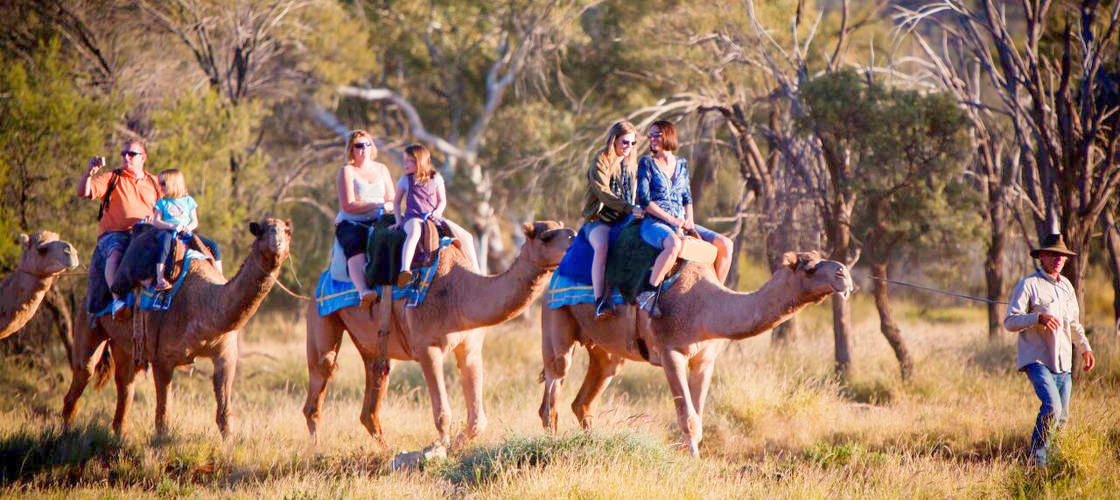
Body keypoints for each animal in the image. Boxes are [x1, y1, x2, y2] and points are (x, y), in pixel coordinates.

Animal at [62, 219, 291, 437]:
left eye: (287, 231)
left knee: (125, 382)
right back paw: (66, 435)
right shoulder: (161, 359)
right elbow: (163, 419)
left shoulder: (225, 354)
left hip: (123, 345)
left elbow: (224, 416)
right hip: (88, 321)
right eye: (260, 231)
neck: (203, 303)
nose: (277, 244)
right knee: (82, 375)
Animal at [303, 221, 574, 448]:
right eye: (546, 236)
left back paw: (386, 450)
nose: (574, 236)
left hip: (372, 345)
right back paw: (317, 450)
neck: (459, 292)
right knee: (318, 381)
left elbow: (478, 420)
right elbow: (443, 413)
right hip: (321, 315)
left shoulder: (470, 349)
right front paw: (441, 449)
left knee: (373, 392)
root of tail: (320, 280)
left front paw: (457, 445)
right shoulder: (428, 349)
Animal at [539, 251, 853, 456]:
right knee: (554, 387)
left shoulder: (705, 360)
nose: (844, 274)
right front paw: (692, 462)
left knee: (585, 398)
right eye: (808, 266)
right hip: (556, 316)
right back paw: (551, 446)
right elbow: (688, 417)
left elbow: (699, 418)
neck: (704, 306)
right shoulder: (671, 353)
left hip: (605, 350)